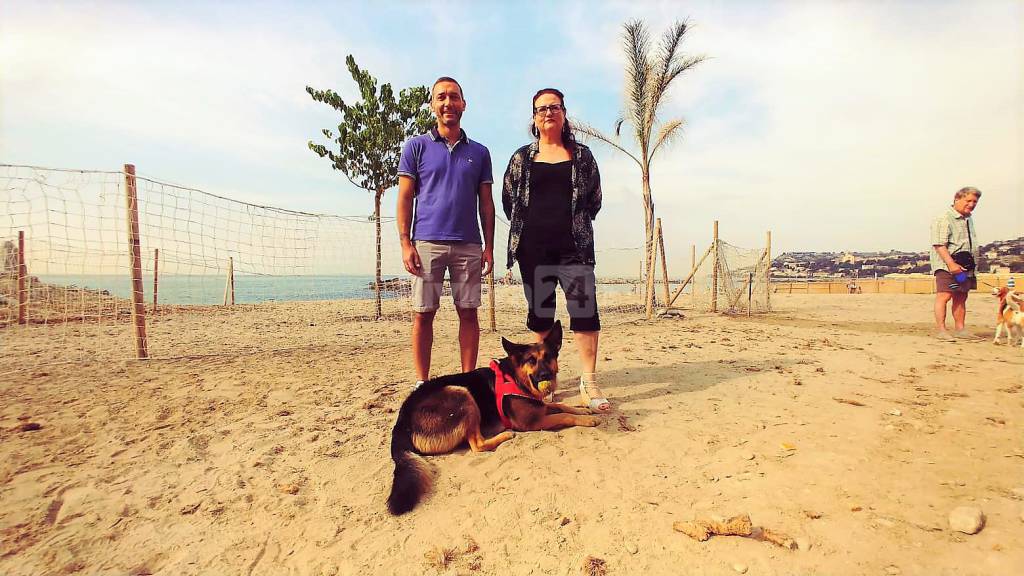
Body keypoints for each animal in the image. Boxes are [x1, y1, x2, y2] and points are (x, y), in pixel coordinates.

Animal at [385, 319, 598, 512]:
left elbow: (560, 405)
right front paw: (587, 419)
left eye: (549, 357)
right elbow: (563, 415)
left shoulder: (539, 406)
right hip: (462, 393)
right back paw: (506, 435)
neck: (516, 377)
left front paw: (583, 409)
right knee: (477, 445)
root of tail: (401, 422)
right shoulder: (532, 421)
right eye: (531, 360)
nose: (546, 376)